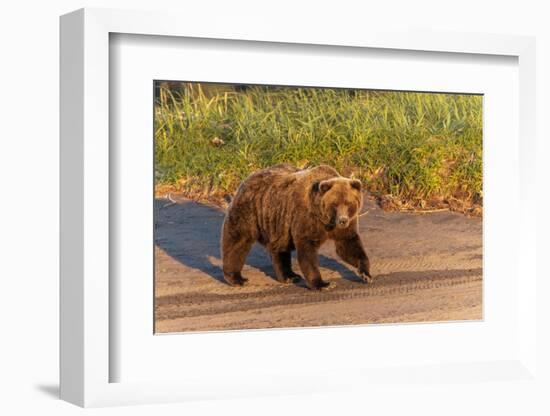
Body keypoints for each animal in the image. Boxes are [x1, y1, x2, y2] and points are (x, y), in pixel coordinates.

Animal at [221, 163, 376, 290]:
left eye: (349, 203)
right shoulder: (306, 218)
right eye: (335, 204)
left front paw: (366, 274)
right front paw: (322, 283)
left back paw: (289, 276)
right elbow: (307, 250)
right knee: (238, 241)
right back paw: (236, 278)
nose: (343, 220)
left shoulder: (346, 224)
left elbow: (349, 245)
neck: (325, 219)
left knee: (279, 247)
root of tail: (247, 178)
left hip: (278, 221)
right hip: (250, 211)